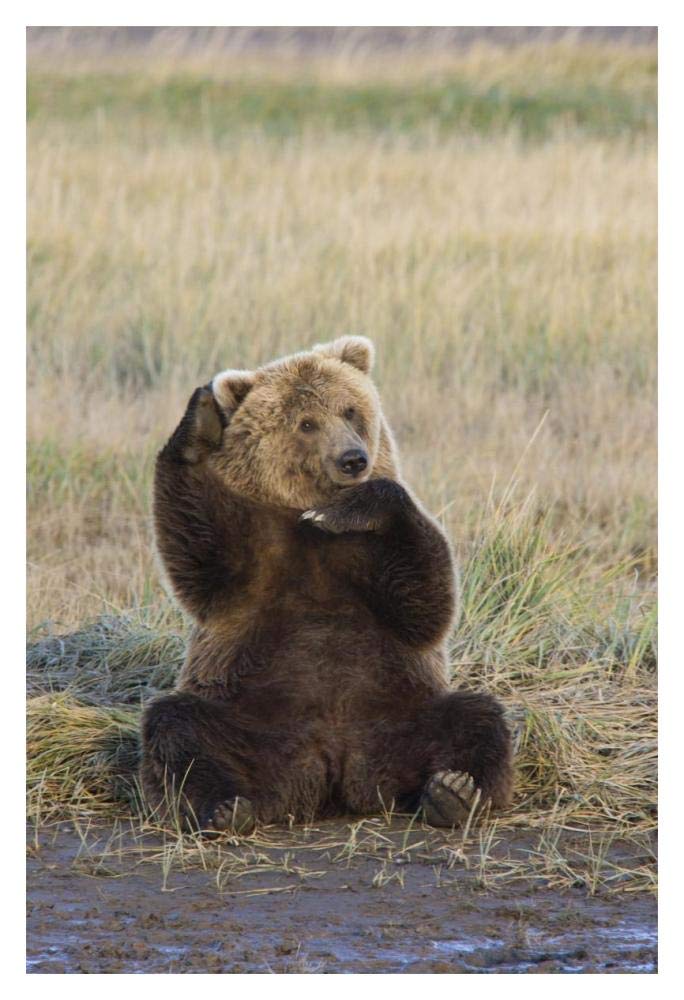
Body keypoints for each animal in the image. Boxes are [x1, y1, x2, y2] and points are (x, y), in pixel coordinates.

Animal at [140, 336, 513, 833]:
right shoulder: (257, 555)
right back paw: (226, 807)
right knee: (178, 726)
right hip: (252, 719)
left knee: (477, 718)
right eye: (306, 423)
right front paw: (200, 415)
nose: (352, 459)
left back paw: (453, 793)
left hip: (398, 713)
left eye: (350, 410)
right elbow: (200, 557)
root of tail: (332, 765)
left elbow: (425, 603)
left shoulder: (365, 557)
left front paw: (352, 506)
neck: (303, 513)